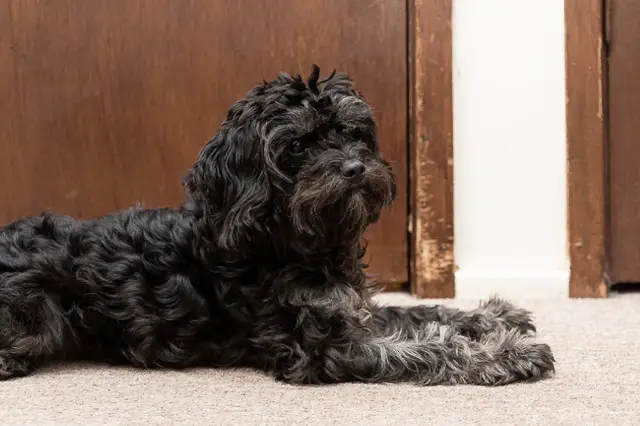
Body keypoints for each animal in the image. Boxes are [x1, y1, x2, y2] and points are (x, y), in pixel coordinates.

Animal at [0, 66, 552, 386]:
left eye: (352, 132)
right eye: (299, 146)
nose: (356, 168)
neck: (293, 241)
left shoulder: (352, 308)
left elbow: (419, 312)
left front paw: (495, 316)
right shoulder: (321, 350)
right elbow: (425, 348)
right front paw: (506, 354)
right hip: (37, 314)